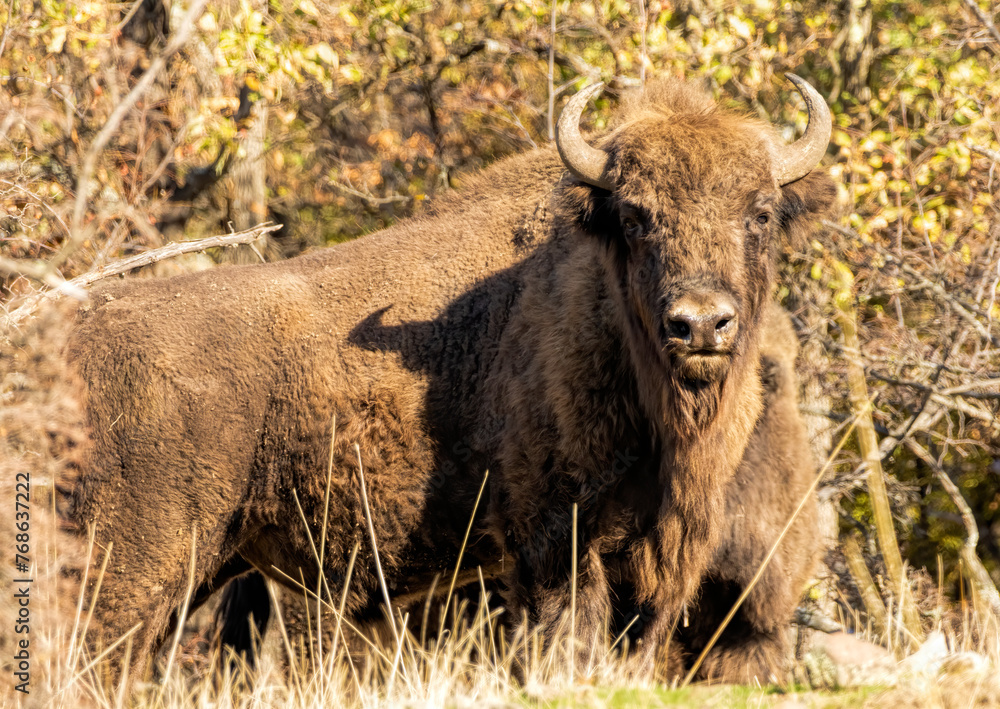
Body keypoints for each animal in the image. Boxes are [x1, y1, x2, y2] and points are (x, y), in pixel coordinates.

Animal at [55, 74, 835, 684]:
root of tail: (81, 338)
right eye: (637, 215)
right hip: (137, 563)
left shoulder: (656, 564)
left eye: (761, 212)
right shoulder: (554, 543)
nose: (700, 324)